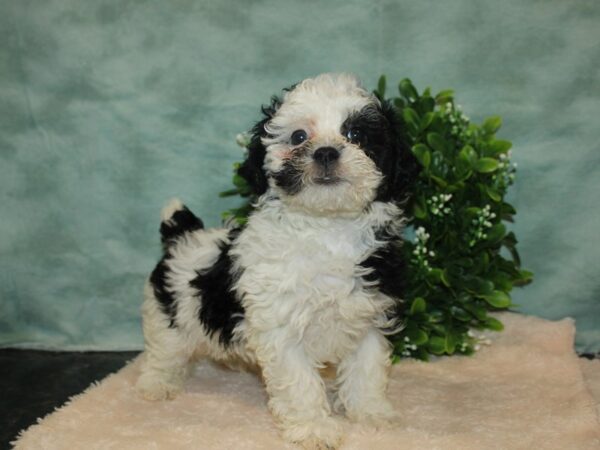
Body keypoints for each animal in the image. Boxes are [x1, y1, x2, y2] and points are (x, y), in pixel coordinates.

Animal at [136, 72, 418, 448]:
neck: (327, 229)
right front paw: (315, 428)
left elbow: (367, 369)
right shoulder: (281, 326)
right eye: (299, 136)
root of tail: (183, 234)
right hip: (170, 313)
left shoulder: (370, 314)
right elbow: (300, 382)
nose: (326, 152)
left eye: (356, 135)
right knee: (164, 350)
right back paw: (157, 384)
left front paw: (370, 412)